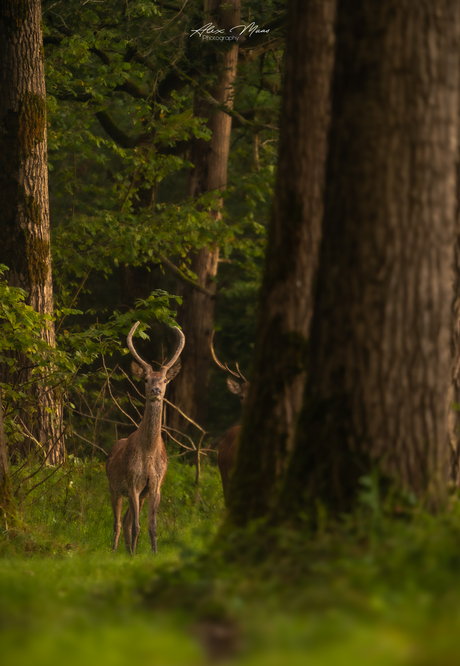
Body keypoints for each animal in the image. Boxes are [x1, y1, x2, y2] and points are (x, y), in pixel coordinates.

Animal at [105, 322, 183, 556]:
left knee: (125, 520)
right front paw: (133, 555)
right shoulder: (132, 481)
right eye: (146, 379)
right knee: (117, 522)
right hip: (113, 486)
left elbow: (151, 525)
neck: (148, 452)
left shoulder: (155, 485)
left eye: (165, 379)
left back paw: (128, 550)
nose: (156, 390)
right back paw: (115, 550)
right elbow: (137, 525)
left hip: (141, 494)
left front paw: (153, 553)